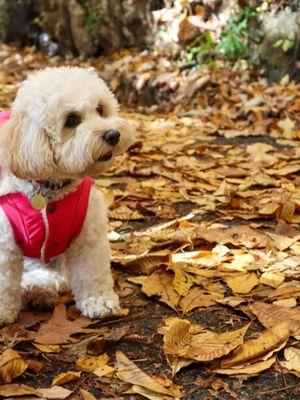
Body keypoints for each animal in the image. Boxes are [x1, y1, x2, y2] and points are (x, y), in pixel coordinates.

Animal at [0, 66, 135, 324]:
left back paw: (40, 292)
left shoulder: (89, 235)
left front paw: (99, 301)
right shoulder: (4, 241)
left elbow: (92, 272)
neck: (51, 191)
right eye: (71, 120)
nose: (113, 134)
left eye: (100, 109)